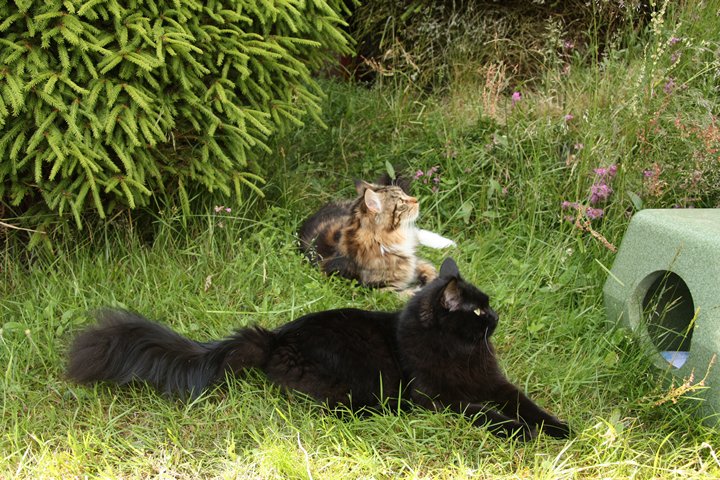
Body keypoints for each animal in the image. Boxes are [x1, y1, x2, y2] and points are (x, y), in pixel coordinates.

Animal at [67, 257, 570, 440]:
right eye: (479, 311)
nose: (498, 317)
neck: (458, 351)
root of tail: (274, 337)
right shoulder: (441, 397)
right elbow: (485, 415)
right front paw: (521, 433)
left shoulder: (495, 384)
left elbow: (526, 405)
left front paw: (560, 429)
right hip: (364, 382)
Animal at [298, 177, 455, 293]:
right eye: (402, 202)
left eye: (404, 193)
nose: (416, 199)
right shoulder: (381, 290)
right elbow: (413, 293)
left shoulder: (415, 263)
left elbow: (431, 270)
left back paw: (448, 243)